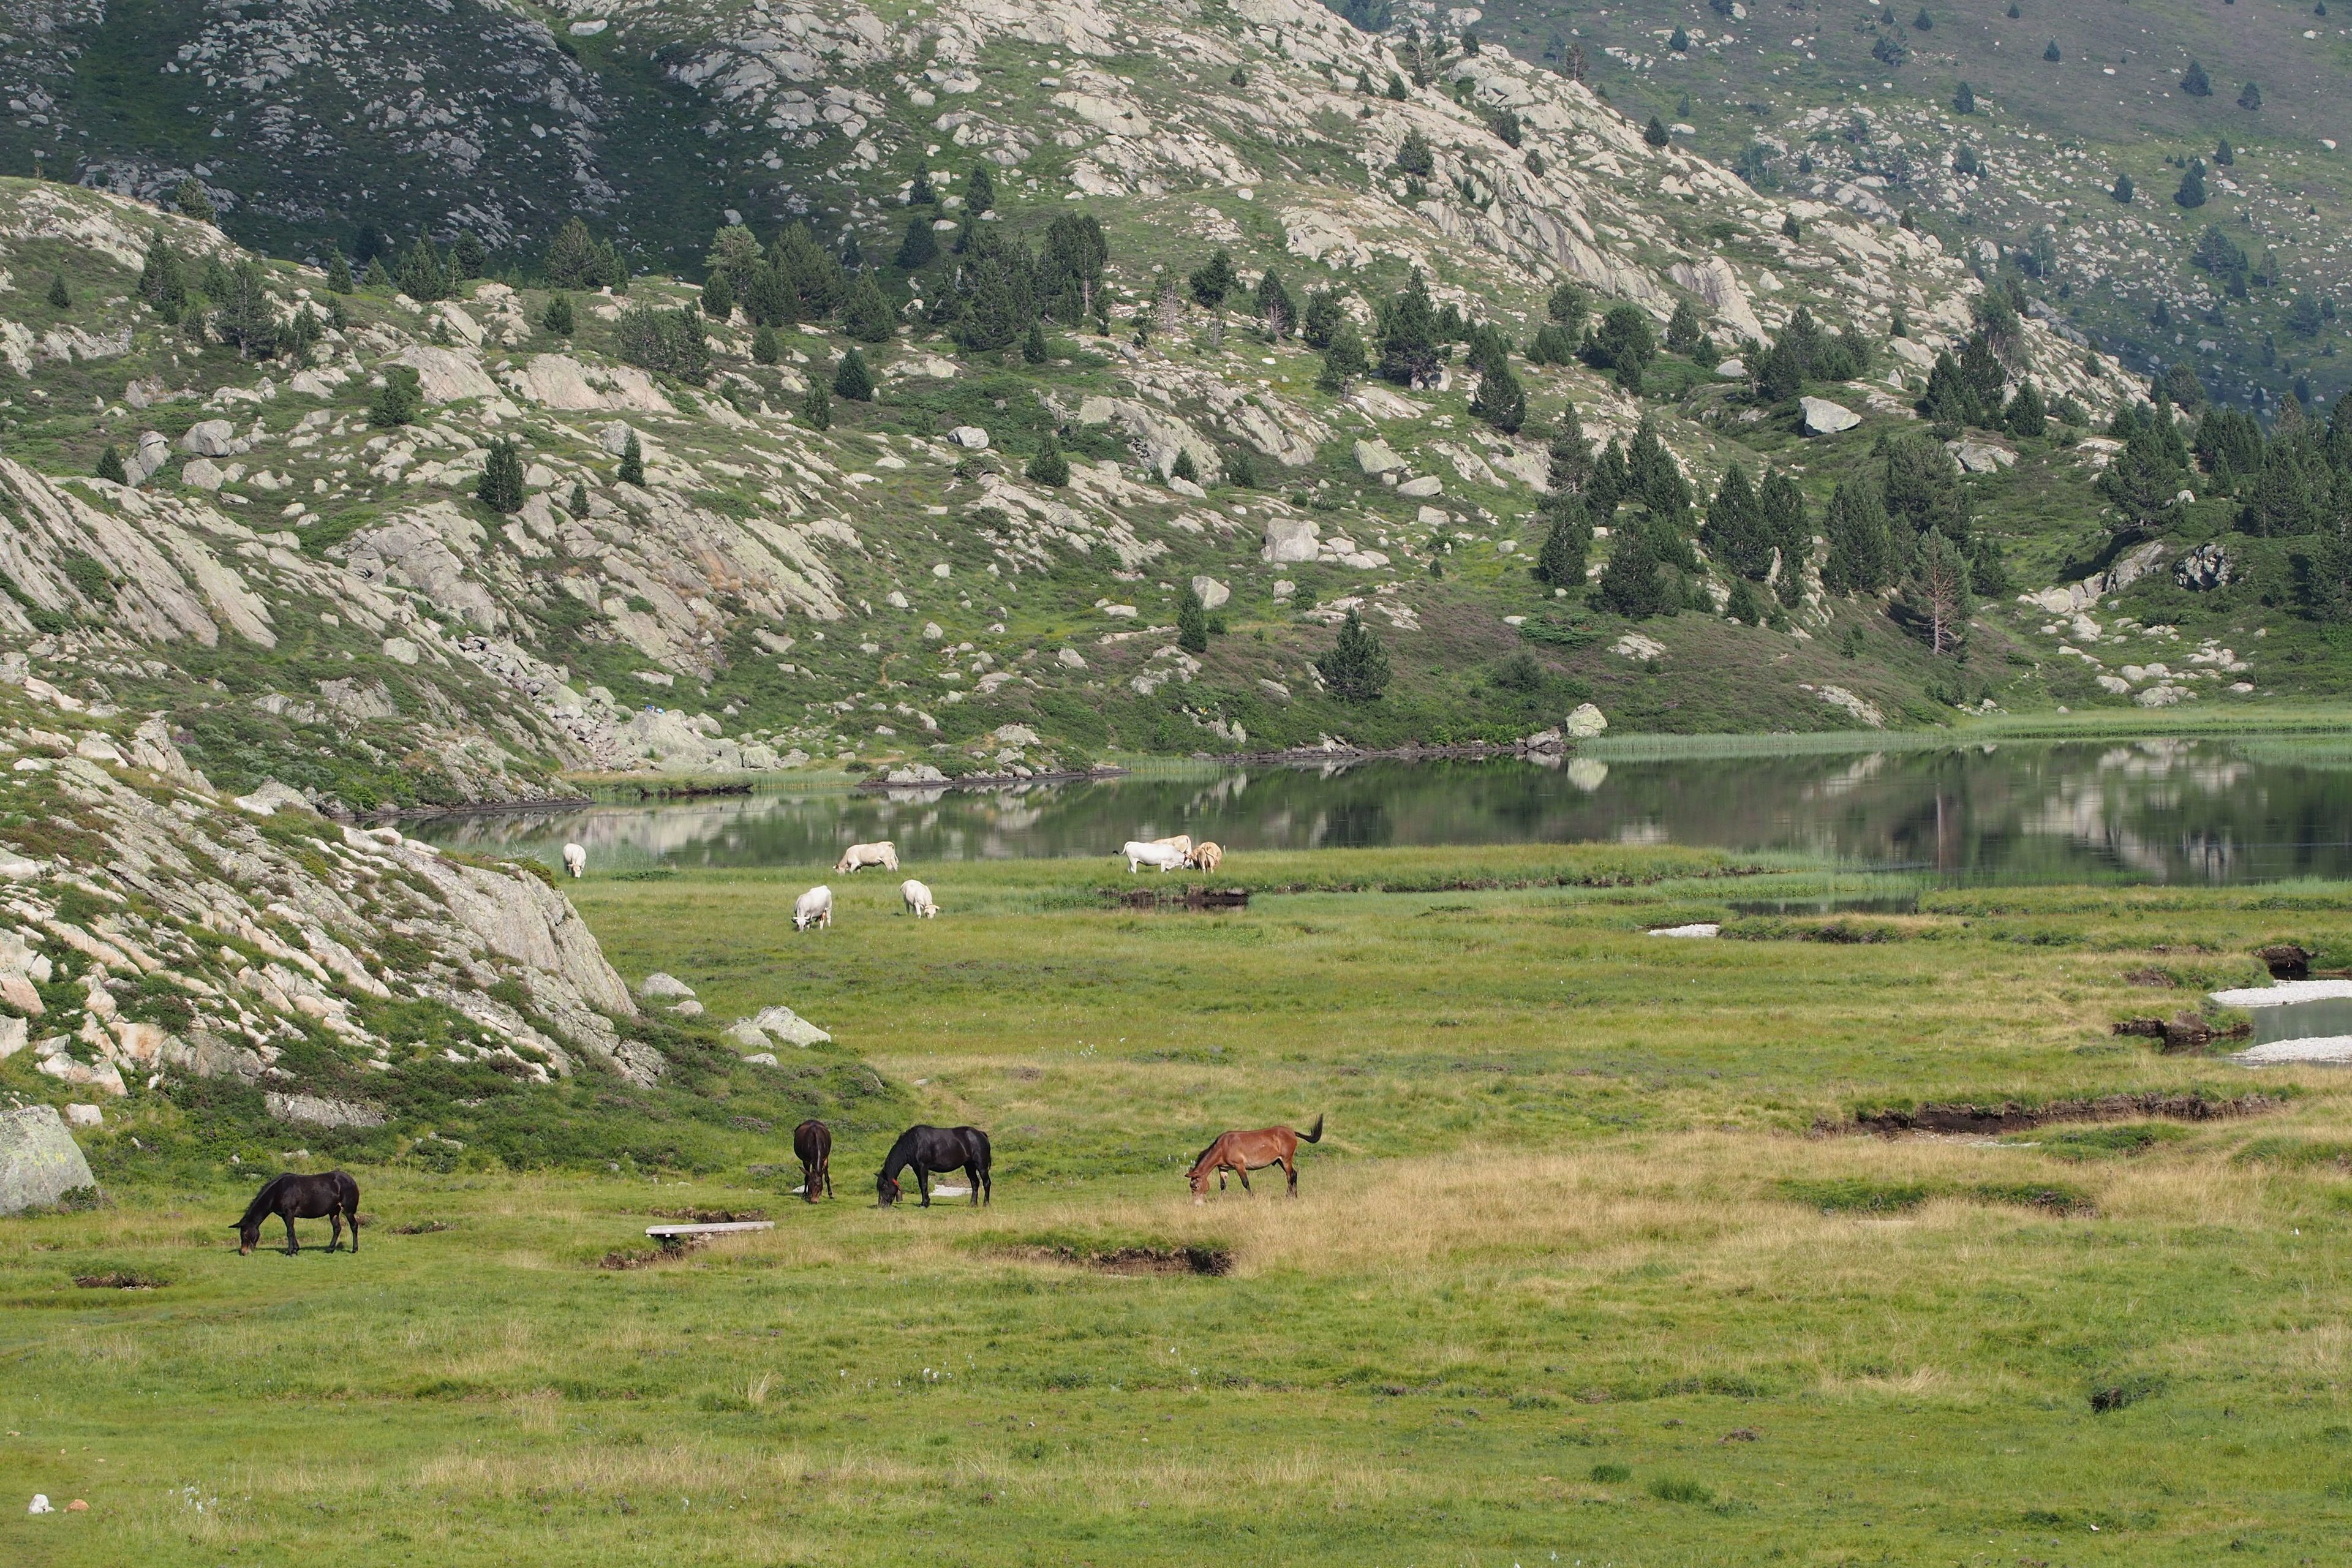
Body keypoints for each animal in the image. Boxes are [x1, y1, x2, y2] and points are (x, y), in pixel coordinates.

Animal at [233, 1170, 361, 1255]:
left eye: (244, 1234)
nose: (244, 1252)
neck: (278, 1191)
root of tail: (352, 1180)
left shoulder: (290, 1212)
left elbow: (289, 1232)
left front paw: (290, 1252)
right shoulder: (284, 1215)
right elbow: (292, 1230)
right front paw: (296, 1249)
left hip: (348, 1210)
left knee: (354, 1226)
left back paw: (354, 1249)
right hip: (333, 1211)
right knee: (337, 1228)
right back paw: (330, 1249)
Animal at [794, 1118, 833, 1202]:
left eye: (820, 1185)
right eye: (810, 1185)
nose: (814, 1201)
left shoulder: (825, 1157)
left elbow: (826, 1177)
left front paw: (830, 1195)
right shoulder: (806, 1160)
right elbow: (807, 1176)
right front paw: (806, 1194)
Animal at [877, 1125, 991, 1208]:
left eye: (884, 1187)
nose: (881, 1206)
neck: (914, 1143)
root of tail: (981, 1134)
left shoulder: (923, 1167)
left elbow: (924, 1184)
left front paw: (925, 1204)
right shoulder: (916, 1168)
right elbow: (921, 1185)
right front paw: (924, 1202)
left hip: (981, 1166)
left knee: (986, 1183)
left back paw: (986, 1204)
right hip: (969, 1167)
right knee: (975, 1183)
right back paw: (973, 1204)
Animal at [1187, 1115, 1322, 1200]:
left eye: (1195, 1187)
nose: (1196, 1203)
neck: (1223, 1146)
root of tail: (1293, 1132)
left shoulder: (1239, 1166)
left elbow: (1246, 1183)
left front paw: (1253, 1197)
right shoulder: (1223, 1168)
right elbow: (1223, 1185)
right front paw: (1221, 1199)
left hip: (1286, 1160)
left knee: (1290, 1176)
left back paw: (1288, 1196)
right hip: (1280, 1161)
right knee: (1294, 1174)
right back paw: (1295, 1196)